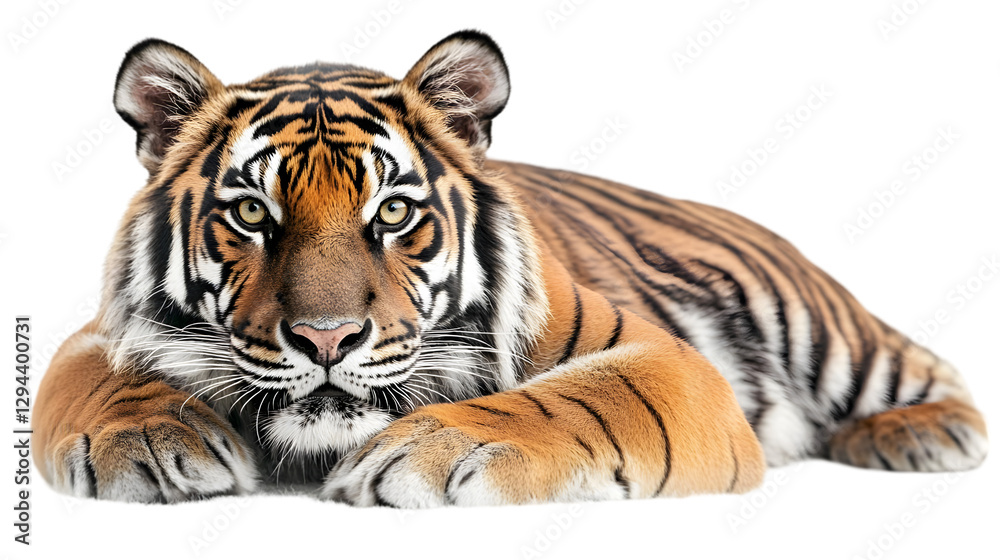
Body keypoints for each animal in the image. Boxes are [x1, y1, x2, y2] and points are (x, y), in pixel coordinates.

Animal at [34, 30, 987, 506]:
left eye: (393, 213)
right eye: (252, 215)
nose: (327, 339)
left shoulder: (666, 357)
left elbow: (582, 397)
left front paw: (431, 449)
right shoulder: (96, 334)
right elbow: (88, 380)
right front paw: (153, 437)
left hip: (827, 328)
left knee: (927, 370)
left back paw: (917, 435)